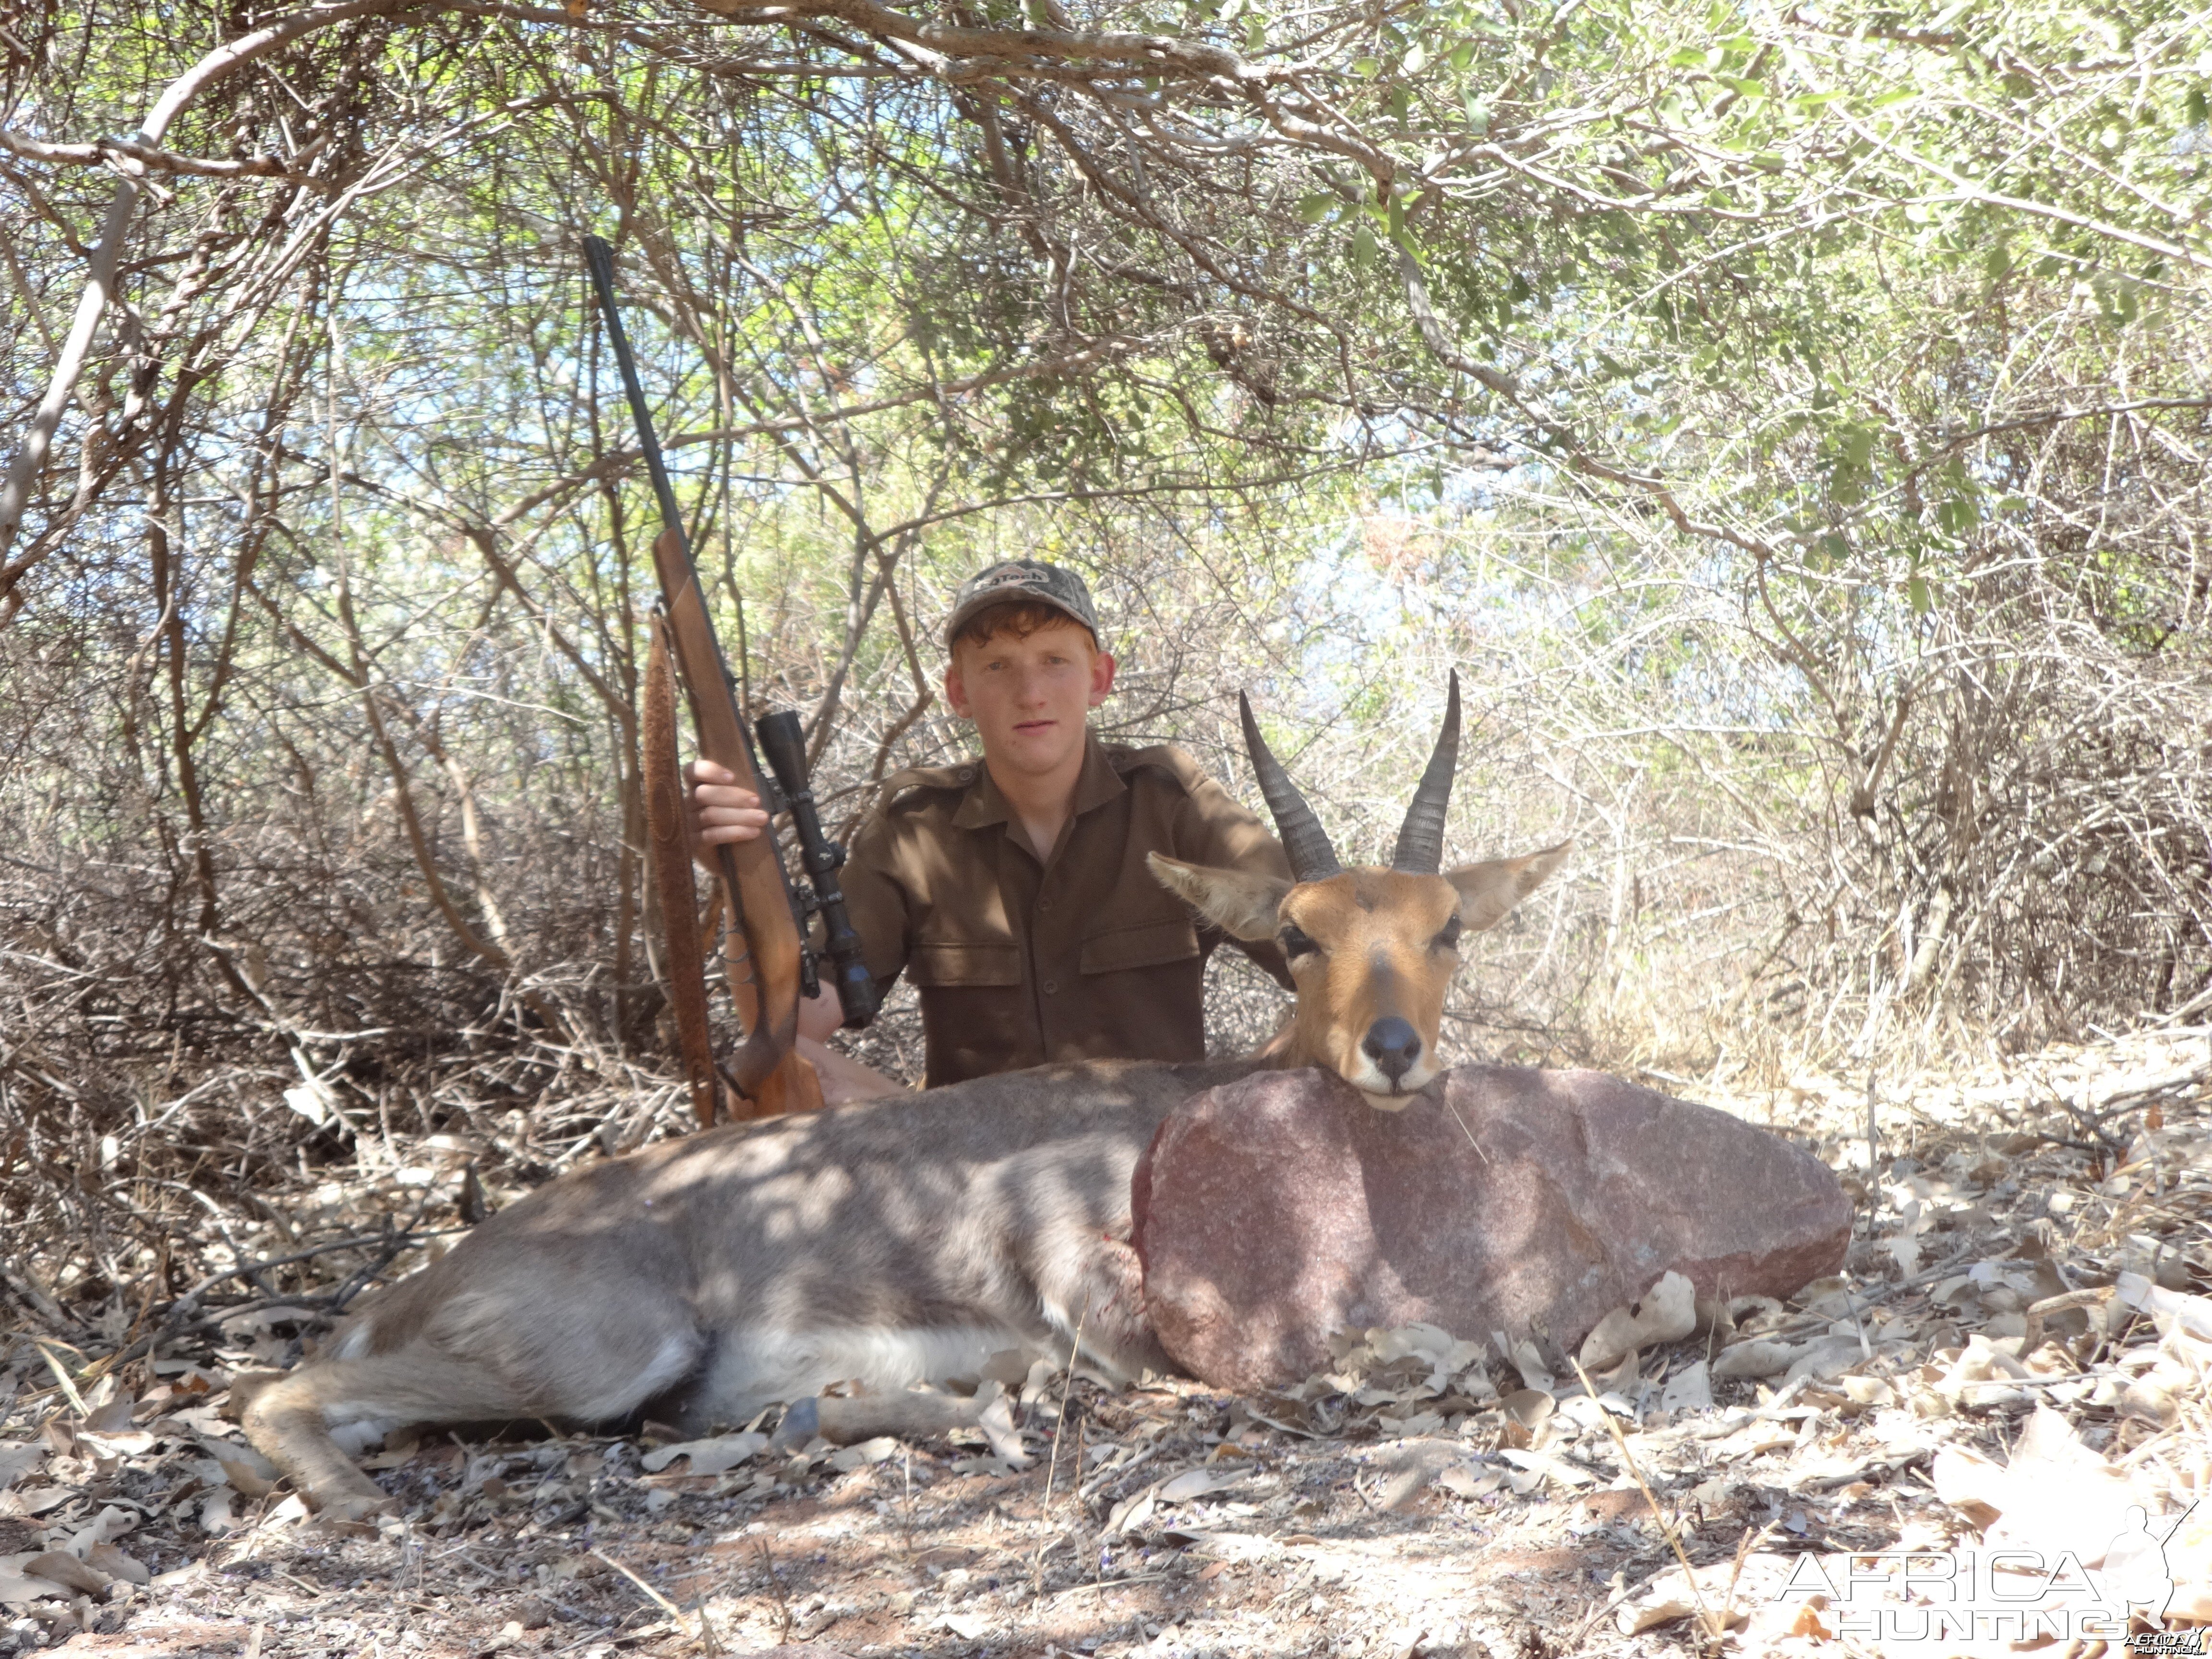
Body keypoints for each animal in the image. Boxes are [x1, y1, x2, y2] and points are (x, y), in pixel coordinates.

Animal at [242, 677, 1566, 1522]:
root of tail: (436, 1270)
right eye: (1297, 934)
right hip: (600, 1359)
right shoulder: (1086, 1276)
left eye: (1447, 926)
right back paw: (361, 1511)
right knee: (274, 1391)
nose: (1394, 1050)